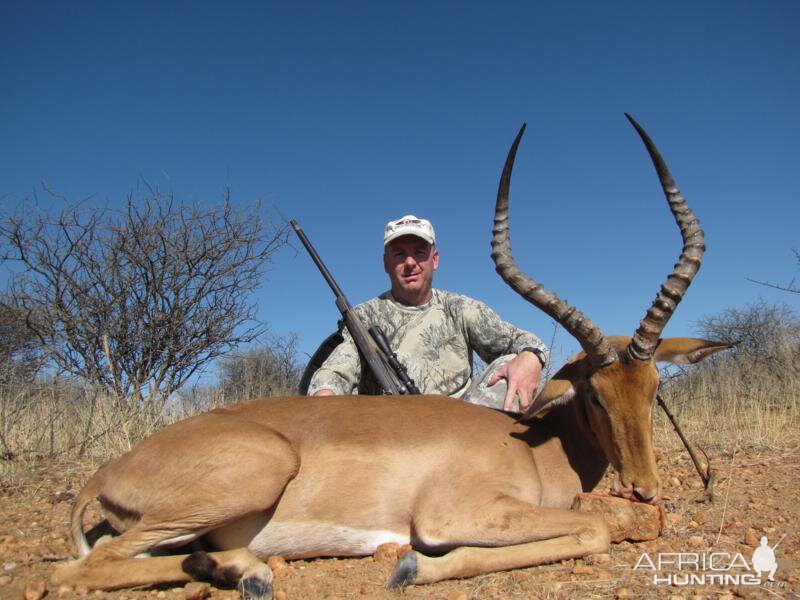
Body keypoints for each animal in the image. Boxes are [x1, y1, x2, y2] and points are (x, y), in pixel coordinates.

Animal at [51, 115, 732, 596]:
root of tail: (105, 474)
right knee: (78, 570)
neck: (534, 447)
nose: (643, 490)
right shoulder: (454, 513)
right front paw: (411, 569)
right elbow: (592, 529)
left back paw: (236, 568)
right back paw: (252, 574)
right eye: (594, 393)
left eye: (655, 389)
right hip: (250, 477)